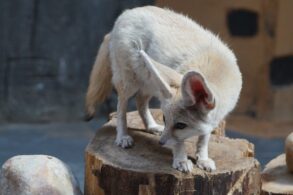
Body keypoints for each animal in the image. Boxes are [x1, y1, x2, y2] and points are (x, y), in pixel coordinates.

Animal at [84, 5, 242, 172]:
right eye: (165, 119)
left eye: (180, 125)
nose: (160, 143)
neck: (218, 71)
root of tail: (126, 13)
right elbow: (179, 142)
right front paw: (181, 160)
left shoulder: (213, 120)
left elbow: (203, 139)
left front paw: (203, 158)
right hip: (129, 84)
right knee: (121, 107)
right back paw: (122, 136)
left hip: (151, 83)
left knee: (140, 102)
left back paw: (151, 126)